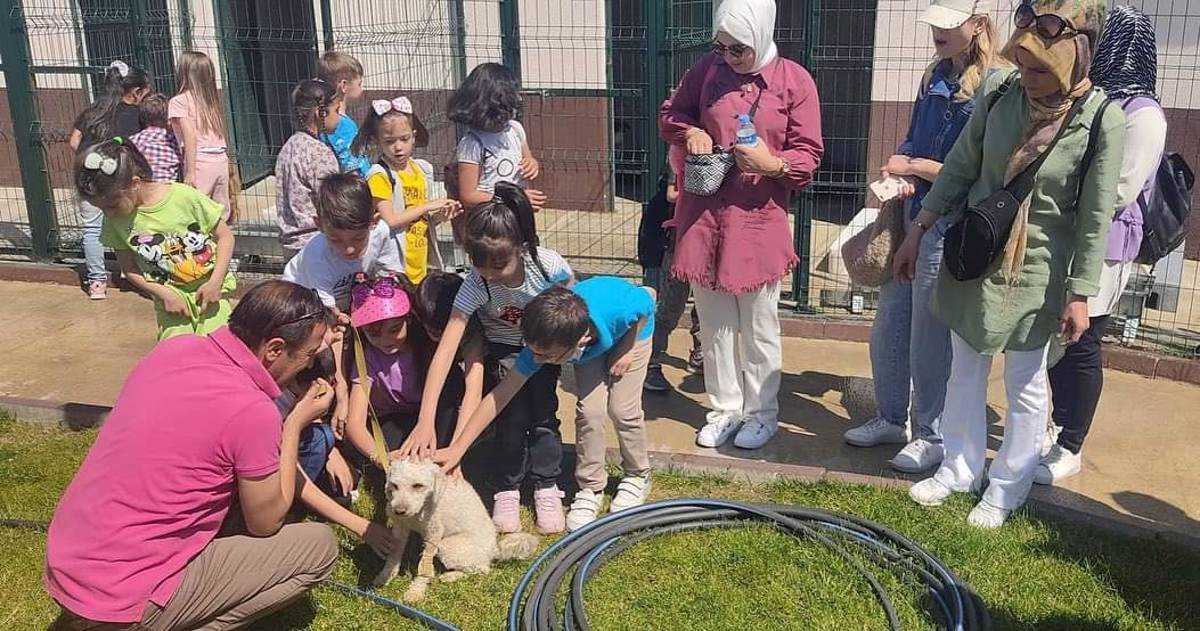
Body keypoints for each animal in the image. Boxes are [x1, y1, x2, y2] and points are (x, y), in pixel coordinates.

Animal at [372, 460, 537, 604]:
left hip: (448, 546)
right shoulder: (400, 528)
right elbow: (394, 554)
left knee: (483, 569)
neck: (422, 508)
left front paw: (416, 591)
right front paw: (386, 575)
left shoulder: (434, 534)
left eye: (418, 485)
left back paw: (451, 576)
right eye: (394, 485)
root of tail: (494, 549)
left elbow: (424, 566)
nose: (398, 511)